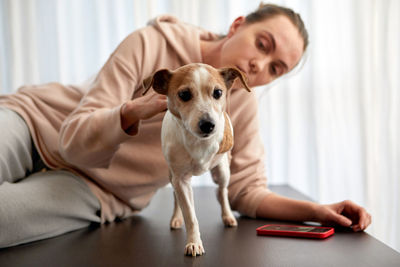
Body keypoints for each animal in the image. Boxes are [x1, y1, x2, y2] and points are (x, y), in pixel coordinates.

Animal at [143, 63, 250, 258]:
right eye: (184, 94)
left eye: (218, 92)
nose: (208, 124)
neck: (196, 142)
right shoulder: (181, 180)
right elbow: (190, 216)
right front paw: (194, 242)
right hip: (172, 176)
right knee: (176, 196)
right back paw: (176, 218)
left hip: (223, 171)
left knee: (222, 192)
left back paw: (228, 216)